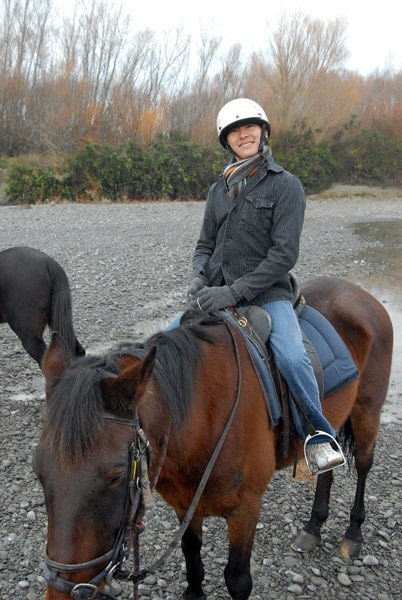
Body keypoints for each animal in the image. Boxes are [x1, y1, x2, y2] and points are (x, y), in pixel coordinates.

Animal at [32, 278, 392, 600]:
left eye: (117, 476)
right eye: (38, 472)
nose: (63, 591)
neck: (203, 416)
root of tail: (361, 294)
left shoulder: (246, 509)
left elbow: (238, 579)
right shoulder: (184, 502)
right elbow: (192, 557)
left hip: (367, 411)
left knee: (363, 464)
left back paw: (353, 534)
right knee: (327, 470)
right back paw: (313, 528)